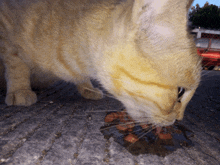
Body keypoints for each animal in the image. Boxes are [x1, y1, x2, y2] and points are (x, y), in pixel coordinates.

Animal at [0, 0, 201, 126]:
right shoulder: (6, 23)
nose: (179, 120)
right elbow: (15, 61)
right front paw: (19, 89)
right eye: (180, 92)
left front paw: (87, 87)